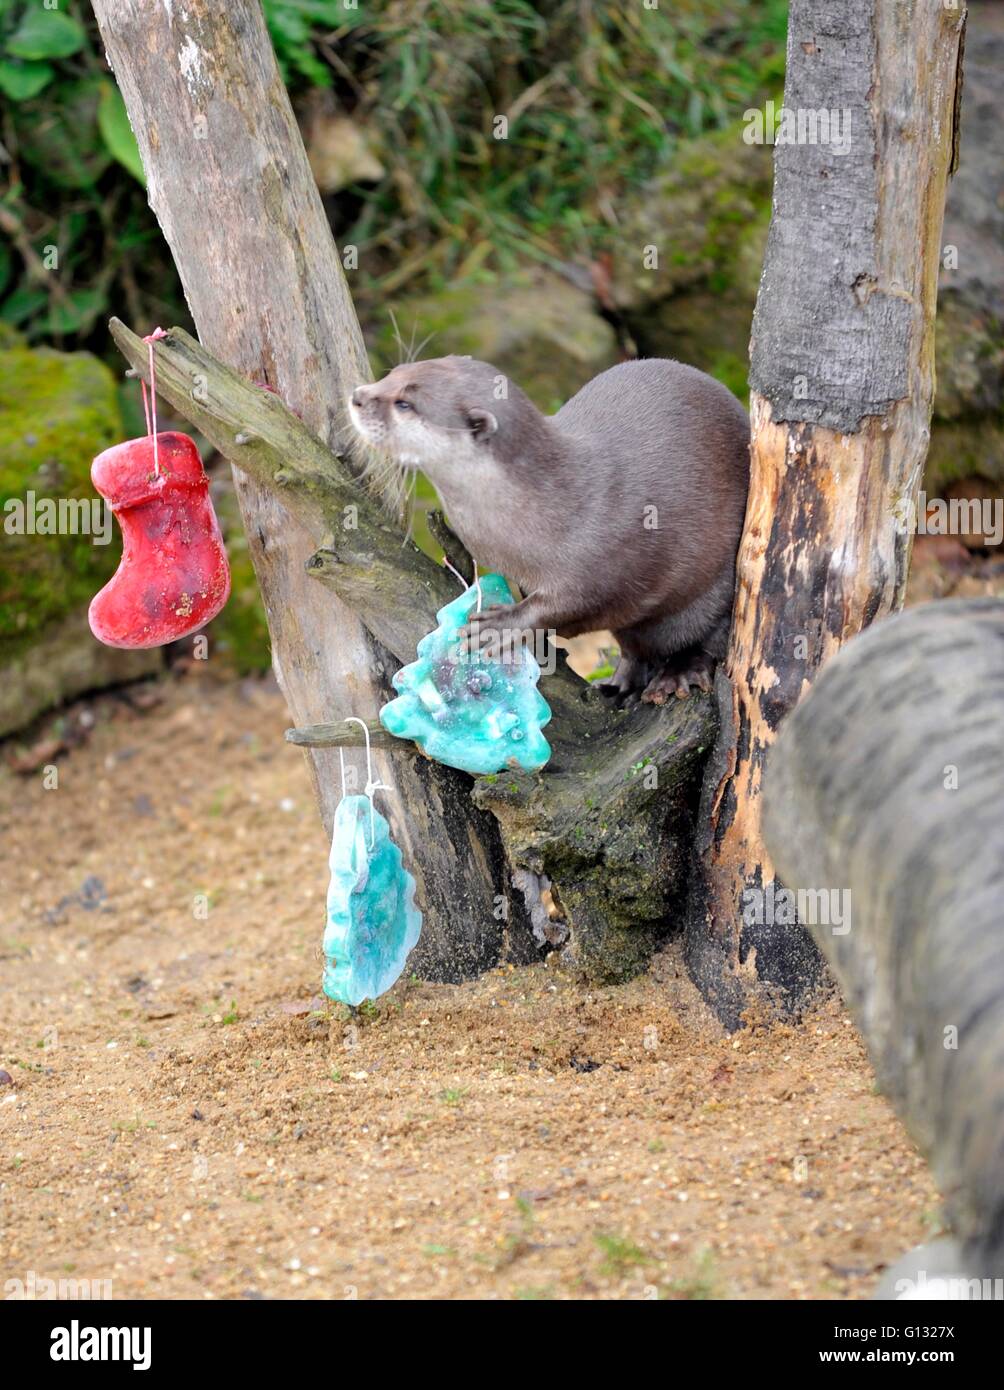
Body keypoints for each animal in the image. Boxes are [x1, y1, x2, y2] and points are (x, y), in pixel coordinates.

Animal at [347, 353, 745, 700]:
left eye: (405, 404)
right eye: (392, 374)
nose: (357, 396)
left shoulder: (603, 558)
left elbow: (570, 603)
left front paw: (501, 626)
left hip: (716, 587)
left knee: (707, 638)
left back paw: (678, 673)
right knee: (634, 649)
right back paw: (618, 686)